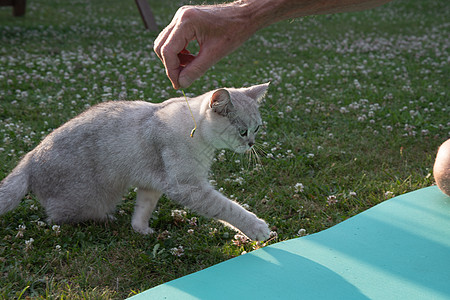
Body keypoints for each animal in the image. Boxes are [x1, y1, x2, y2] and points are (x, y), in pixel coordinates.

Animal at [0, 82, 270, 241]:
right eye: (243, 131)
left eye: (257, 128)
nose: (251, 143)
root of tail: (29, 159)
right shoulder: (186, 186)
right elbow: (227, 208)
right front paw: (257, 228)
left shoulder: (153, 184)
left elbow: (143, 209)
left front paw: (141, 229)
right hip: (90, 199)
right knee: (55, 218)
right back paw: (105, 219)